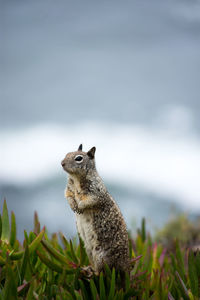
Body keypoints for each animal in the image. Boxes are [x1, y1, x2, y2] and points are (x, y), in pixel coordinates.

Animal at [61, 144, 130, 276]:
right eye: (67, 153)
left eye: (78, 158)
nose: (62, 163)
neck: (76, 178)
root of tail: (124, 264)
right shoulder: (69, 189)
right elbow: (68, 196)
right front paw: (73, 206)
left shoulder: (96, 192)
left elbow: (90, 201)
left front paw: (80, 206)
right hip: (88, 250)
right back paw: (87, 268)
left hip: (100, 256)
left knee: (101, 272)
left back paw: (91, 272)